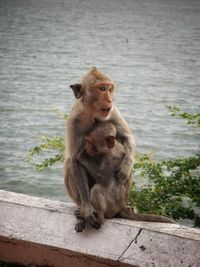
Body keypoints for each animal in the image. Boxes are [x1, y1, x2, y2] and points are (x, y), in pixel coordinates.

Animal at [65, 66, 135, 230]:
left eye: (110, 89)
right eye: (102, 88)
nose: (109, 99)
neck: (92, 113)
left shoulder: (112, 111)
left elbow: (127, 138)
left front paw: (125, 166)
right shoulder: (73, 121)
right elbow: (74, 159)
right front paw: (87, 208)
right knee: (69, 163)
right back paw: (82, 213)